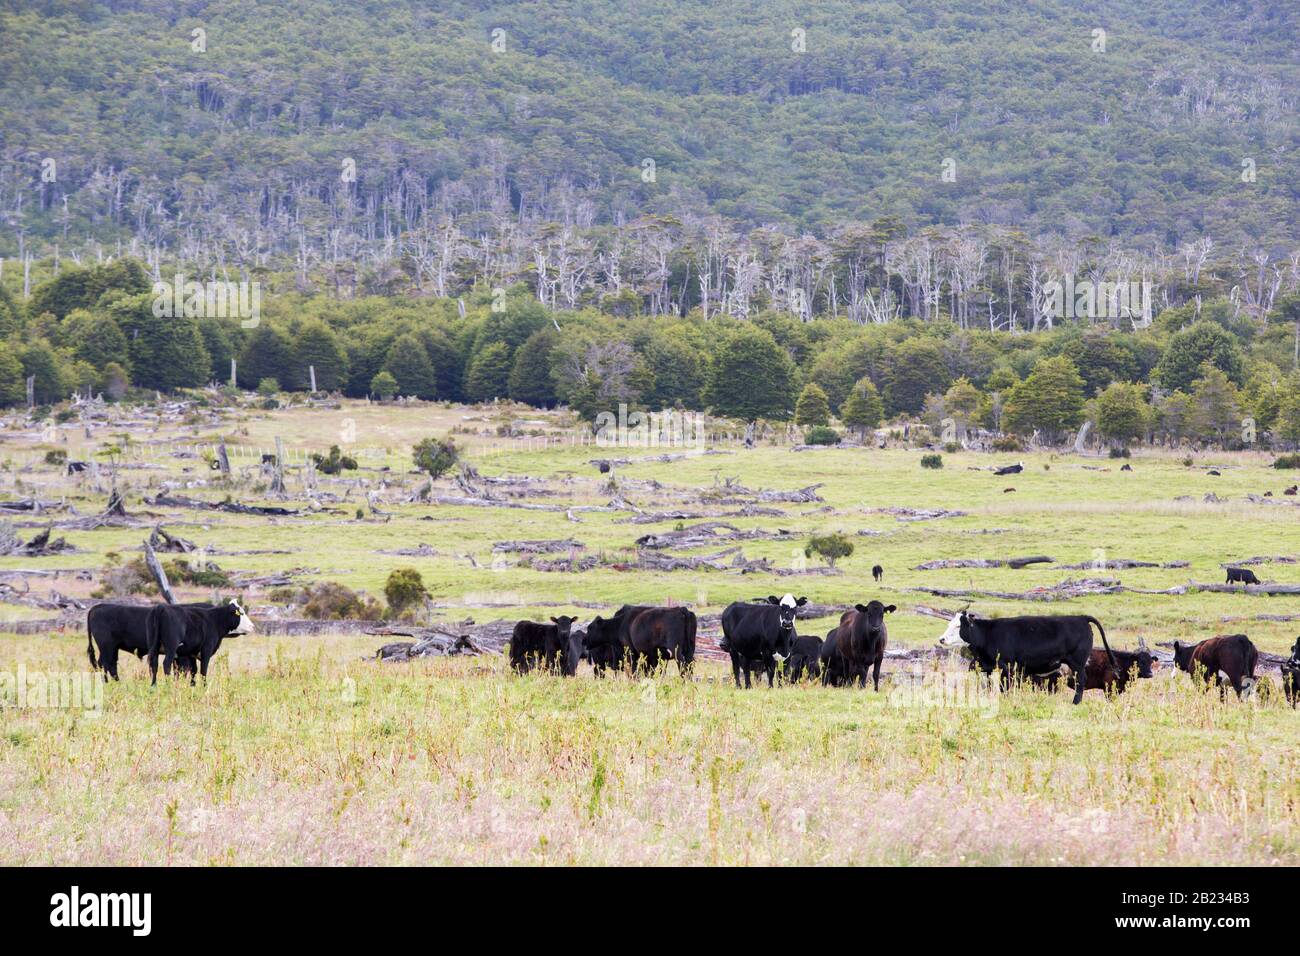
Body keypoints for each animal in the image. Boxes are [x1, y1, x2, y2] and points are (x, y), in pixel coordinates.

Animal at [938, 611, 1114, 704]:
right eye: (948, 624)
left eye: (958, 626)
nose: (942, 639)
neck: (988, 635)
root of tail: (1081, 617)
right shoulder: (987, 667)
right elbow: (988, 686)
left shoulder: (1007, 666)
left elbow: (1004, 687)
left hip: (1077, 662)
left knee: (1081, 681)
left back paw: (1075, 702)